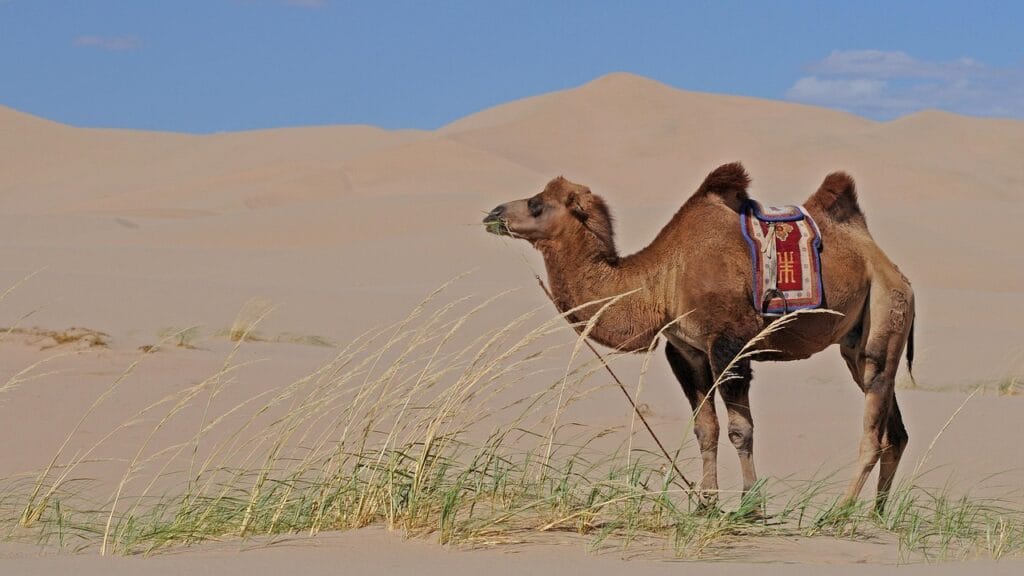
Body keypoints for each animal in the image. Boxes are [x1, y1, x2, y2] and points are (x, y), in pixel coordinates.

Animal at [482, 162, 915, 510]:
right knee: (895, 431)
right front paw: (705, 504)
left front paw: (750, 507)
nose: (493, 213)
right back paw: (874, 516)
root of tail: (890, 267)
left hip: (886, 309)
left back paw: (839, 514)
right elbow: (705, 430)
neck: (660, 280)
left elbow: (741, 430)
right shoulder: (686, 350)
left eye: (537, 204)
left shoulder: (729, 345)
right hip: (857, 341)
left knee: (874, 425)